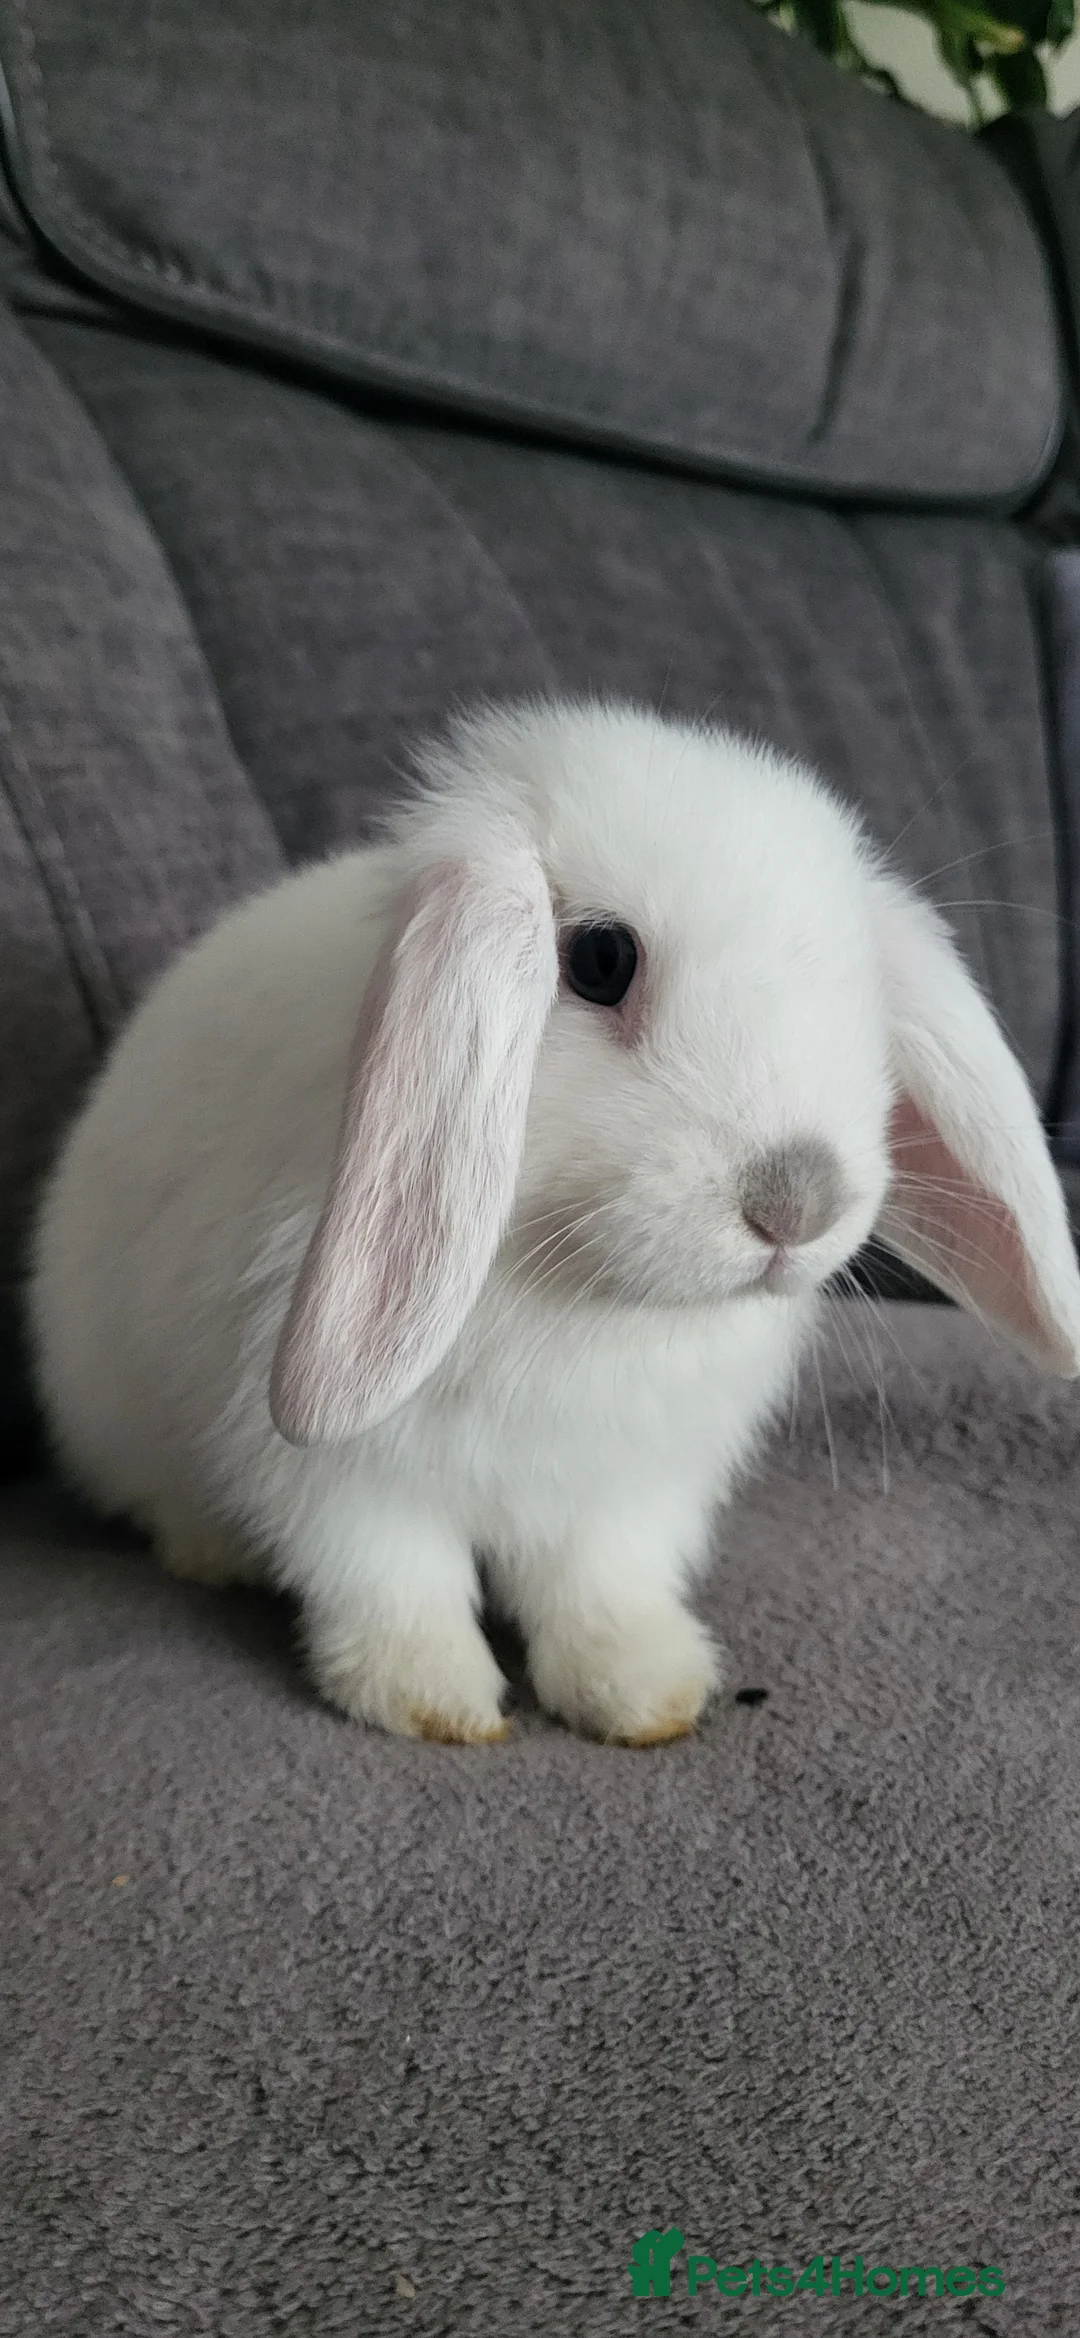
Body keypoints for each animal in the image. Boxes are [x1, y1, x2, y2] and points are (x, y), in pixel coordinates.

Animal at [26, 696, 1080, 1745]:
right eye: (600, 960)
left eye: (860, 988)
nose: (799, 1198)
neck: (581, 1293)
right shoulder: (334, 1478)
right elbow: (393, 1581)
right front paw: (434, 1702)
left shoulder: (629, 1487)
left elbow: (602, 1588)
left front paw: (647, 1694)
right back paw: (212, 1554)